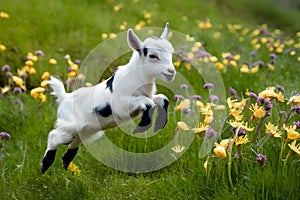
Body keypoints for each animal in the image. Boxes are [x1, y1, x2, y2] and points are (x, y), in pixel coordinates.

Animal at [40, 23, 176, 173]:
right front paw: (141, 127)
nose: (171, 71)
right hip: (72, 123)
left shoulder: (149, 97)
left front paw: (158, 124)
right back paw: (45, 165)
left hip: (86, 130)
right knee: (54, 136)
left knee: (73, 141)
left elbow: (162, 99)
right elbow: (148, 103)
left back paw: (66, 161)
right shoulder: (122, 104)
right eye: (152, 55)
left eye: (171, 52)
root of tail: (64, 97)